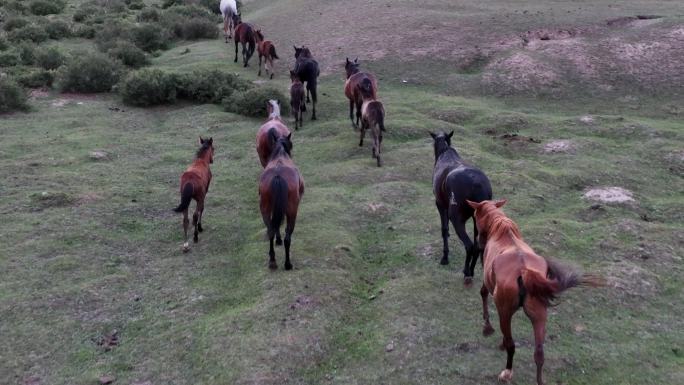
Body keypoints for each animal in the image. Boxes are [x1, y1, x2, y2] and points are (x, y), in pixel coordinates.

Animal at [260, 130, 304, 268]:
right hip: (292, 210)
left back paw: (272, 260)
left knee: (270, 230)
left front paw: (277, 240)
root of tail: (278, 176)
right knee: (288, 237)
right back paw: (287, 263)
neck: (280, 155)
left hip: (265, 207)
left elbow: (276, 223)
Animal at [432, 130, 492, 284]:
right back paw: (471, 270)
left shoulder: (440, 204)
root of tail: (477, 183)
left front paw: (445, 258)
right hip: (478, 221)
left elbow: (444, 229)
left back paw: (466, 272)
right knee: (478, 246)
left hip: (457, 219)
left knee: (469, 246)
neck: (445, 152)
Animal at [464, 198, 604, 384]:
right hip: (539, 315)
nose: (479, 241)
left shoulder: (489, 285)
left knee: (511, 344)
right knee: (539, 353)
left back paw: (507, 371)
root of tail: (524, 271)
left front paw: (487, 327)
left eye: (475, 215)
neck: (502, 232)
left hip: (505, 311)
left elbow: (483, 294)